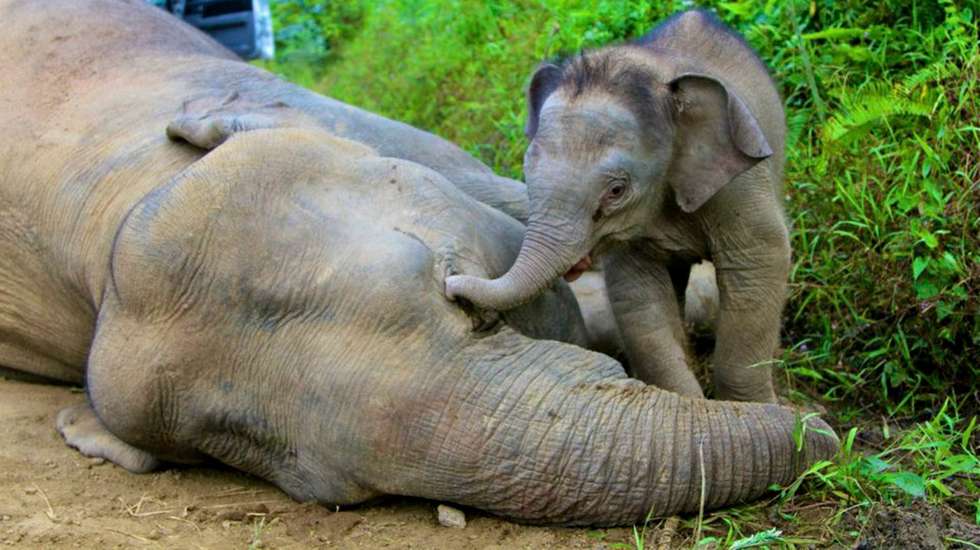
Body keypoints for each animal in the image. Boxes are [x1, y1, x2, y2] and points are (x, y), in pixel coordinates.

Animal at [446, 10, 790, 403]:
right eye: (526, 171)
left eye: (616, 190)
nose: (451, 286)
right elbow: (638, 296)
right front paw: (688, 402)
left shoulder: (739, 183)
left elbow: (759, 262)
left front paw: (755, 407)